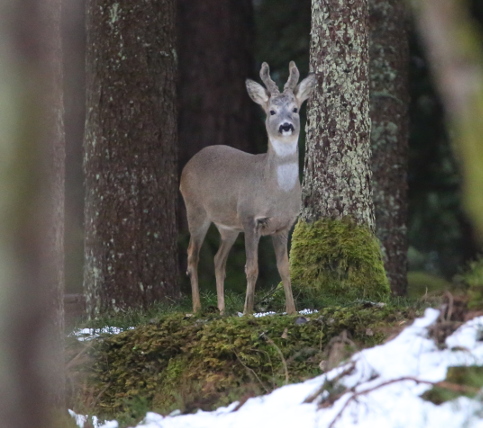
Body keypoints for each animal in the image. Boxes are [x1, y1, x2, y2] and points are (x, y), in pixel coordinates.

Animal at [180, 61, 316, 314]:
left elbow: (284, 268)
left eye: (295, 109)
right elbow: (251, 268)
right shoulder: (249, 217)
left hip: (228, 227)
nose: (285, 126)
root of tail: (188, 165)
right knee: (192, 255)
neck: (275, 192)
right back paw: (197, 307)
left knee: (218, 259)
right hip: (195, 209)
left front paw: (292, 311)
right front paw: (248, 311)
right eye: (271, 111)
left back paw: (222, 309)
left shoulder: (283, 225)